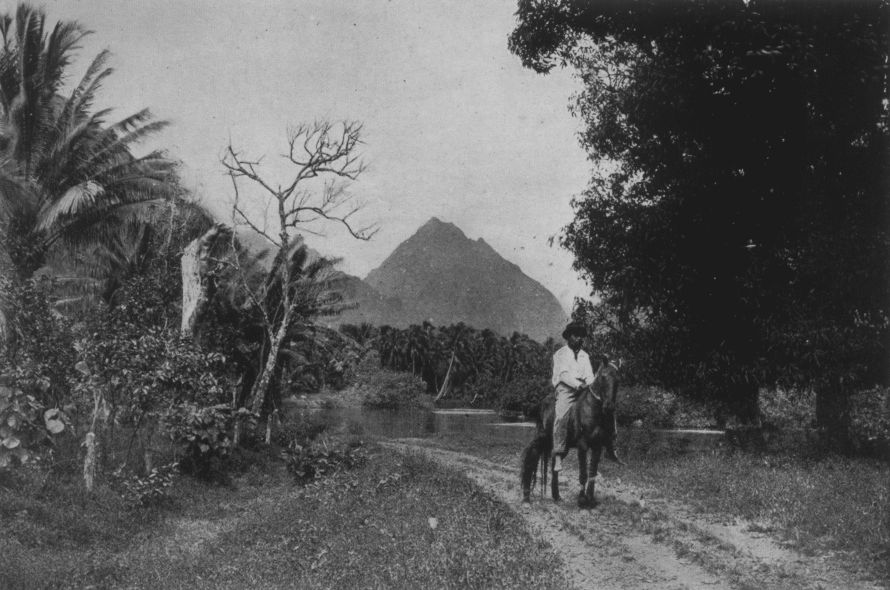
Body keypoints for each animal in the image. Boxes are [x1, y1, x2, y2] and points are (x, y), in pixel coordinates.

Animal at [520, 358, 619, 507]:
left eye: (618, 379)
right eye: (603, 377)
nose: (609, 407)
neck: (591, 410)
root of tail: (542, 403)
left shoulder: (597, 446)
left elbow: (593, 473)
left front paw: (590, 499)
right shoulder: (582, 445)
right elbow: (583, 473)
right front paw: (582, 500)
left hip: (562, 445)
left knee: (554, 463)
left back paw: (556, 496)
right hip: (542, 438)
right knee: (531, 458)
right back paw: (526, 498)